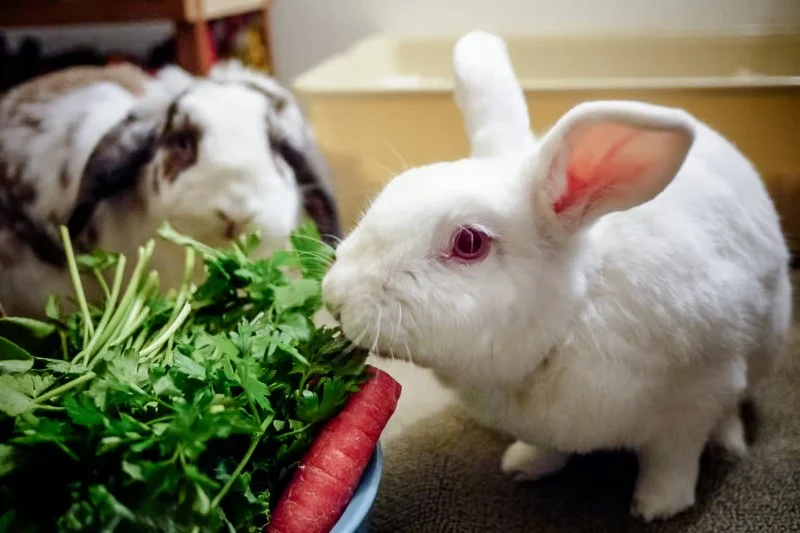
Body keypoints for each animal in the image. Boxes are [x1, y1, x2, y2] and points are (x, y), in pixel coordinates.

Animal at [321, 30, 792, 521]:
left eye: (469, 243)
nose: (334, 297)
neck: (571, 318)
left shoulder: (696, 395)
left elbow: (672, 460)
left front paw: (657, 507)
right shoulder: (548, 426)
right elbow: (547, 448)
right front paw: (523, 465)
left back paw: (727, 444)